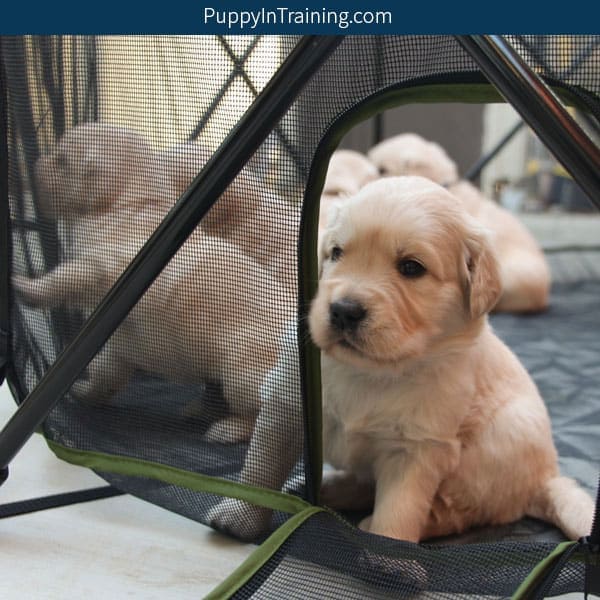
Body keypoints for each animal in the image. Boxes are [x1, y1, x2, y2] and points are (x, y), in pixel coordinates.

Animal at [312, 176, 592, 540]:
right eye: (336, 253)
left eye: (411, 267)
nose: (344, 311)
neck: (375, 372)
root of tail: (546, 478)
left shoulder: (418, 450)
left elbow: (397, 516)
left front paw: (385, 545)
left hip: (500, 442)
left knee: (460, 511)